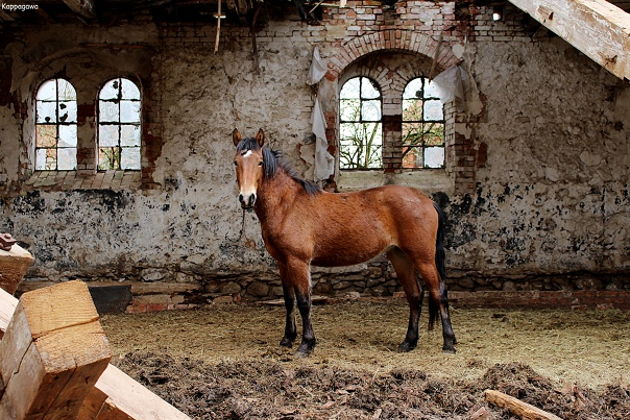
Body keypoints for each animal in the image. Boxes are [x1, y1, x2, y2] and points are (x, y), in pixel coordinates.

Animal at [232, 129, 460, 358]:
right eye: (236, 162)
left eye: (260, 162)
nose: (246, 198)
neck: (288, 204)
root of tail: (427, 200)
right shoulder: (282, 262)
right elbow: (289, 300)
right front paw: (287, 338)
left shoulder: (298, 261)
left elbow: (304, 301)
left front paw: (306, 344)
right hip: (400, 256)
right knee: (415, 295)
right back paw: (408, 342)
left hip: (423, 258)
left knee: (439, 292)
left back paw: (449, 343)